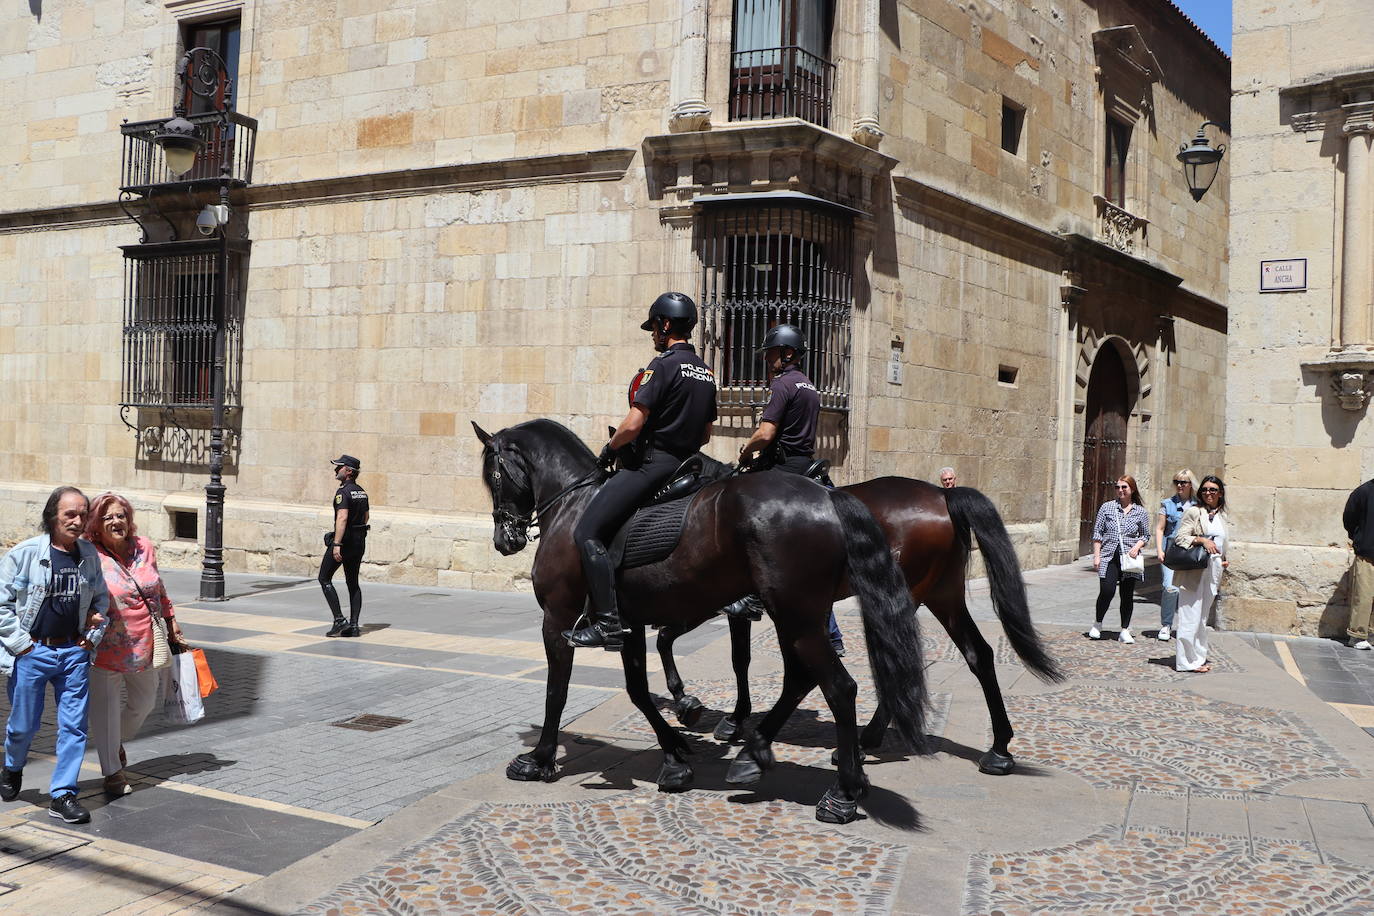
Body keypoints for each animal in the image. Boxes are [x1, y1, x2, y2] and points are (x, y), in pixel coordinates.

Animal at [472, 420, 934, 829]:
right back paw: (755, 755)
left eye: (493, 475)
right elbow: (638, 689)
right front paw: (675, 752)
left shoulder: (558, 618)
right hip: (795, 616)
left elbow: (557, 692)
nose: (504, 539)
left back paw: (842, 793)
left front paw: (538, 759)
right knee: (800, 679)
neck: (573, 505)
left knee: (839, 688)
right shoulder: (629, 623)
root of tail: (827, 497)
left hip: (796, 616)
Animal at [651, 477, 1060, 780]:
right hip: (942, 594)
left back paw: (866, 743)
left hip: (904, 595)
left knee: (899, 662)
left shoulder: (720, 603)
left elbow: (729, 657)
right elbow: (674, 638)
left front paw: (716, 714)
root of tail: (943, 494)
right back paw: (998, 749)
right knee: (977, 655)